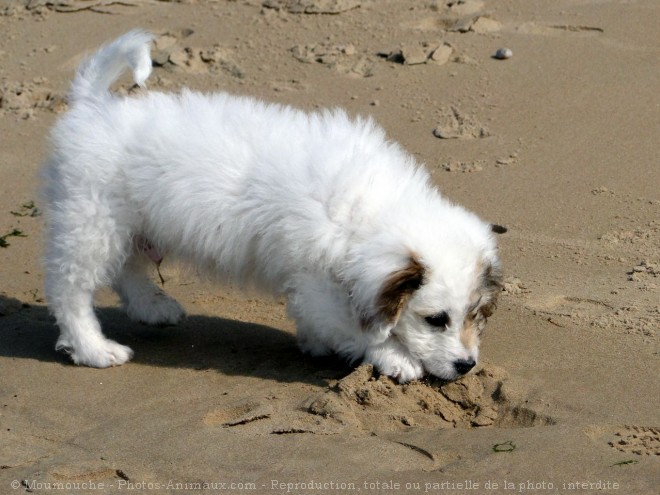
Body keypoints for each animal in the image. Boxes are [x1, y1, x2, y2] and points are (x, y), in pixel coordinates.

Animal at [41, 30, 502, 384]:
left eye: (474, 314)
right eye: (435, 319)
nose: (466, 365)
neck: (370, 212)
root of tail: (92, 106)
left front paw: (318, 343)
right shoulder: (316, 283)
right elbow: (361, 328)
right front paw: (396, 357)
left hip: (132, 224)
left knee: (129, 269)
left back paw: (154, 307)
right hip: (91, 222)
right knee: (70, 290)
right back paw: (94, 348)